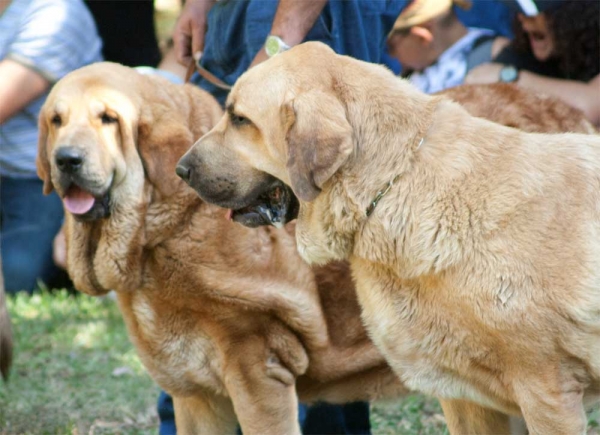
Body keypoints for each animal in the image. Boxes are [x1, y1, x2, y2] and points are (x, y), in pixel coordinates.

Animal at [36, 62, 408, 435]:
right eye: (56, 121)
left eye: (108, 119)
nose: (67, 160)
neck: (167, 228)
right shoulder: (197, 393)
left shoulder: (258, 373)